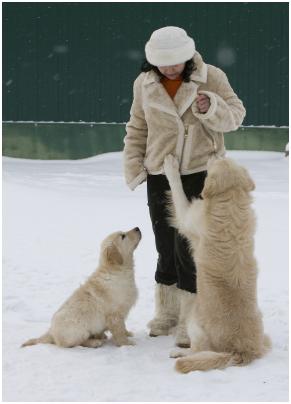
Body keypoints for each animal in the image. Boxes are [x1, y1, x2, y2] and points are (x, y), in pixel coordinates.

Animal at [164, 154, 272, 372]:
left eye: (217, 162)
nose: (215, 154)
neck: (232, 201)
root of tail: (240, 352)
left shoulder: (187, 218)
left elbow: (178, 191)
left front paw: (170, 166)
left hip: (194, 320)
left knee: (196, 351)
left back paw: (178, 353)